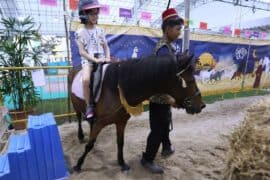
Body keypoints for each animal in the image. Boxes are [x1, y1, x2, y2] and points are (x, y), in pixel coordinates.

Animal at [67, 53, 205, 172]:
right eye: (190, 80)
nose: (201, 105)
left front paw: (122, 163)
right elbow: (89, 145)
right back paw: (80, 136)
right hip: (76, 106)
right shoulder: (100, 123)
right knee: (79, 118)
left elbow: (120, 143)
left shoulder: (121, 122)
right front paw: (78, 165)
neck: (116, 89)